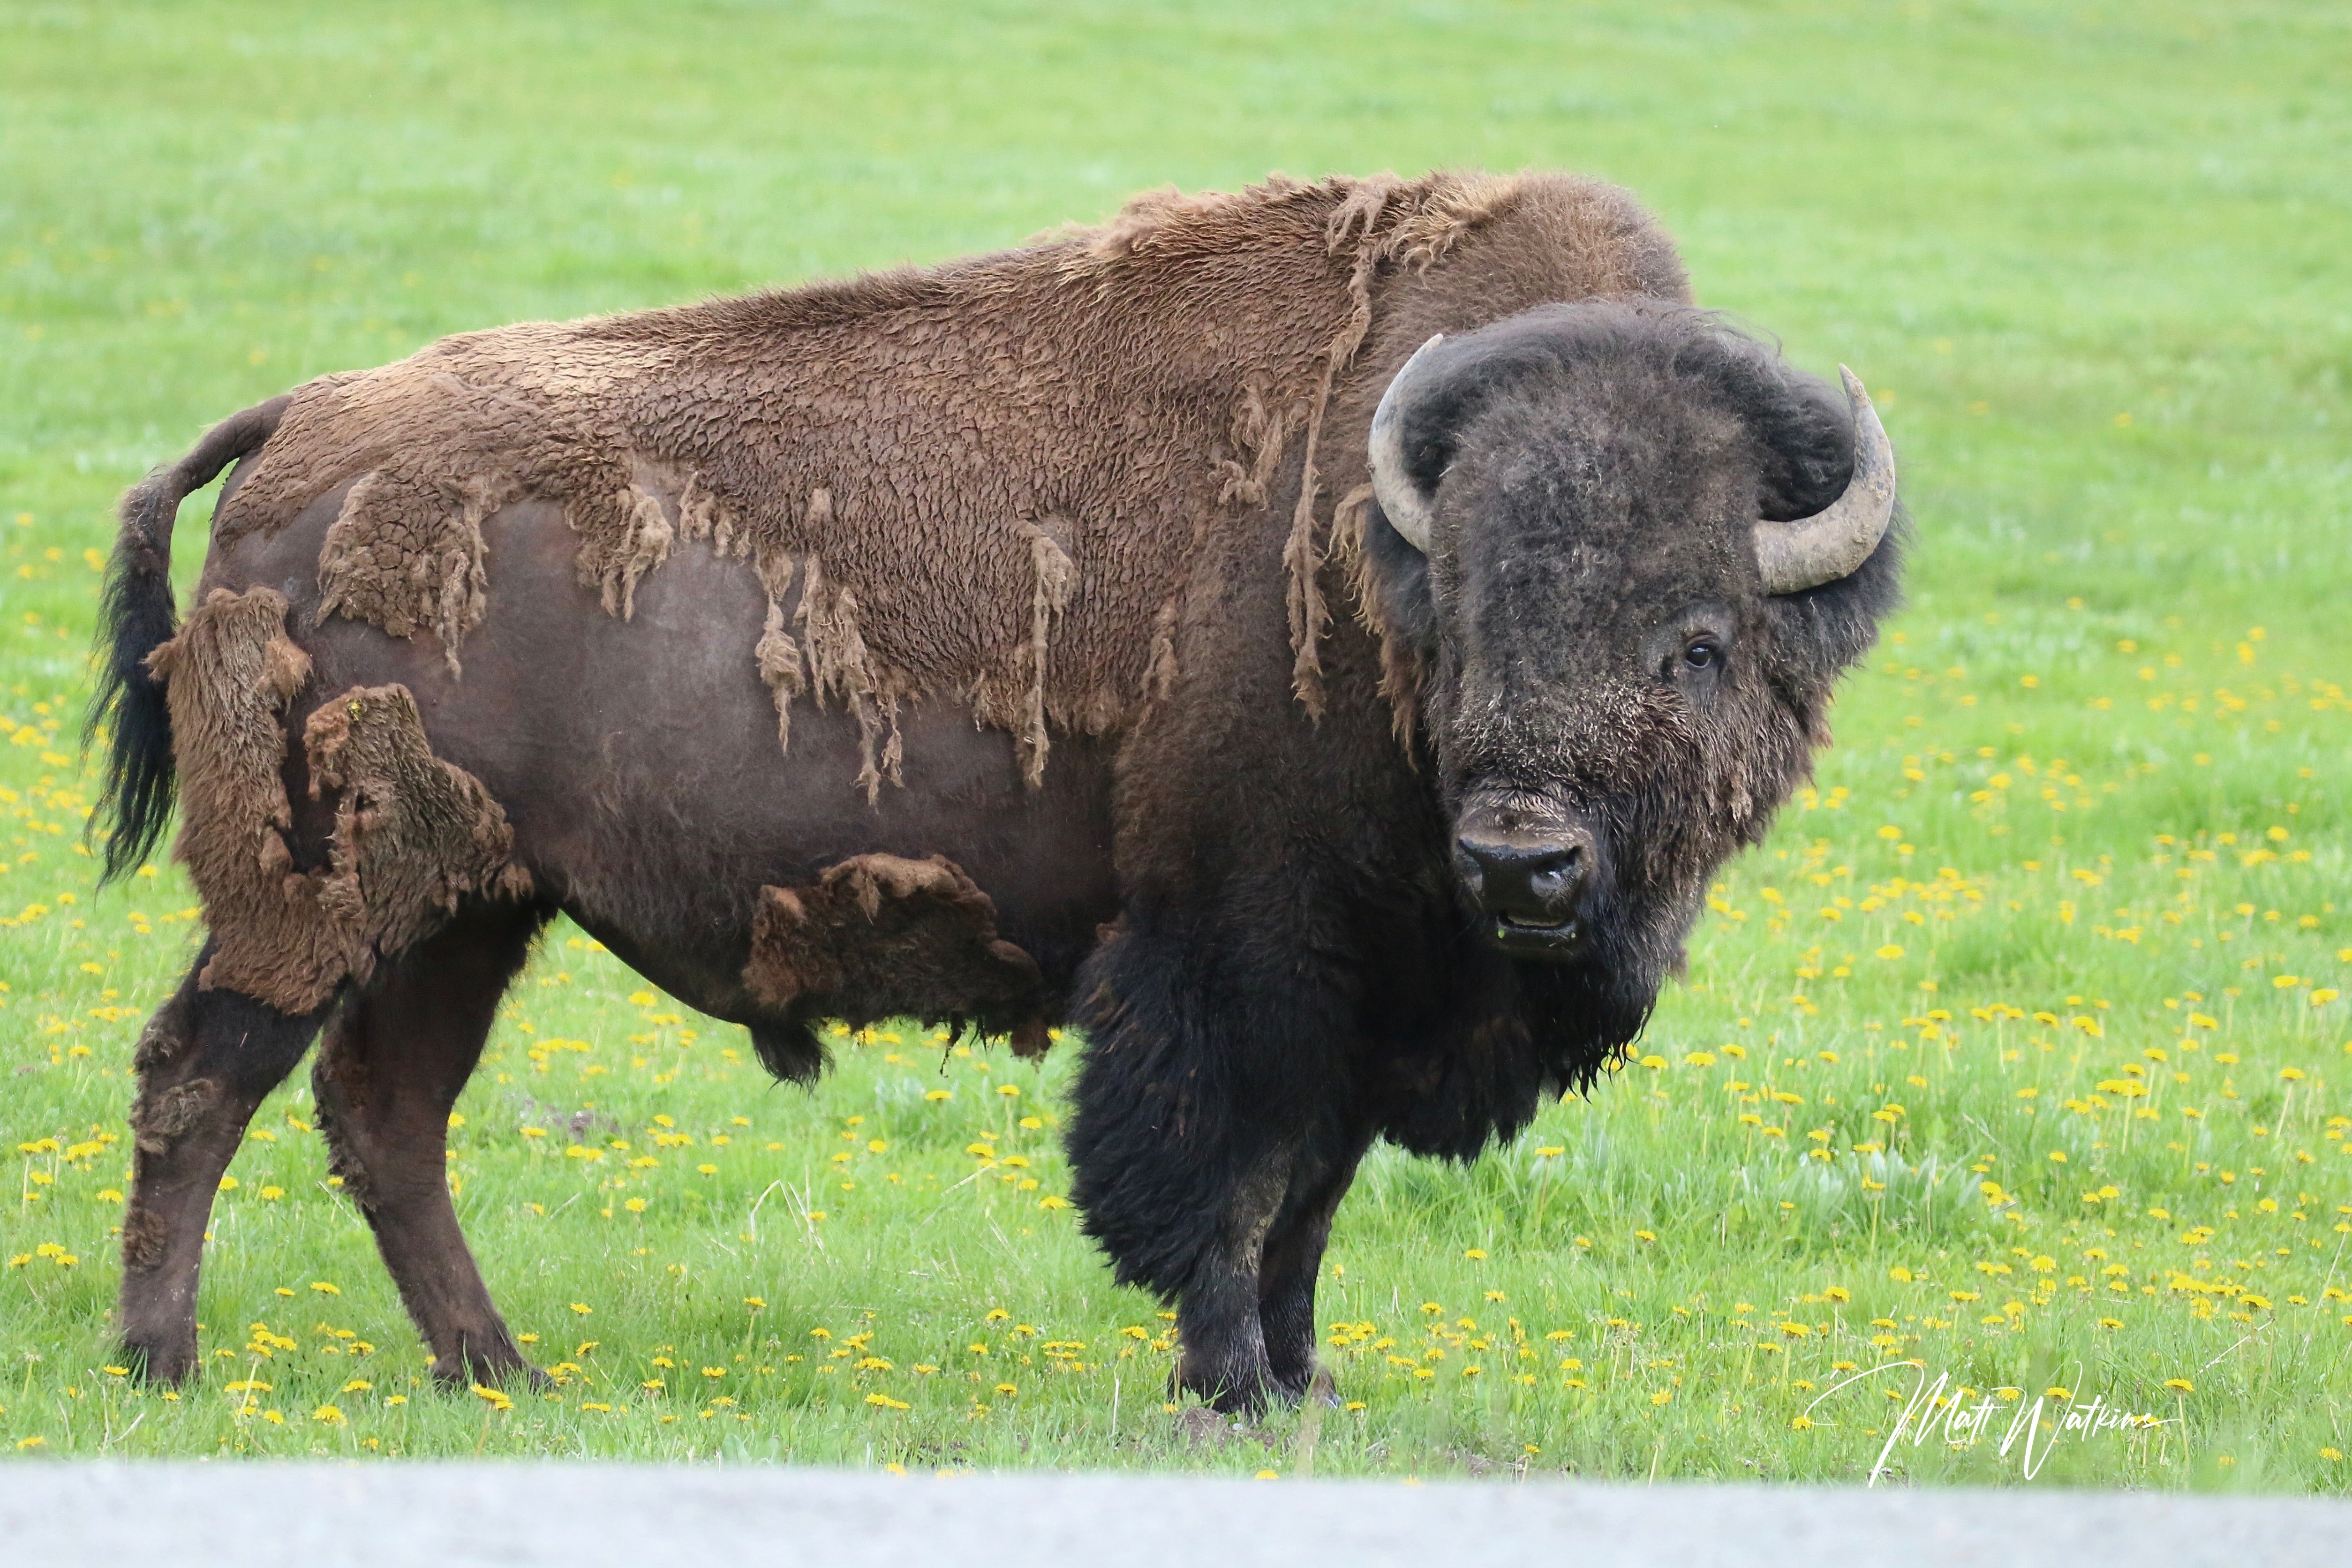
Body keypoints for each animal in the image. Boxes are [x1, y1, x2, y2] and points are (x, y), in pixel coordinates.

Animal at [87, 169, 1891, 1410]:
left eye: (1698, 641)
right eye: (1454, 618)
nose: (1524, 863)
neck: (1379, 555)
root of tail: (299, 427)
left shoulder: (1372, 992)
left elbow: (1310, 1194)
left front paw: (1304, 1378)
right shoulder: (1240, 957)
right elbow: (1229, 1178)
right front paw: (1231, 1385)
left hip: (472, 906)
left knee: (385, 1112)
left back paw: (500, 1371)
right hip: (324, 895)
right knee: (205, 1076)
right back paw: (167, 1365)